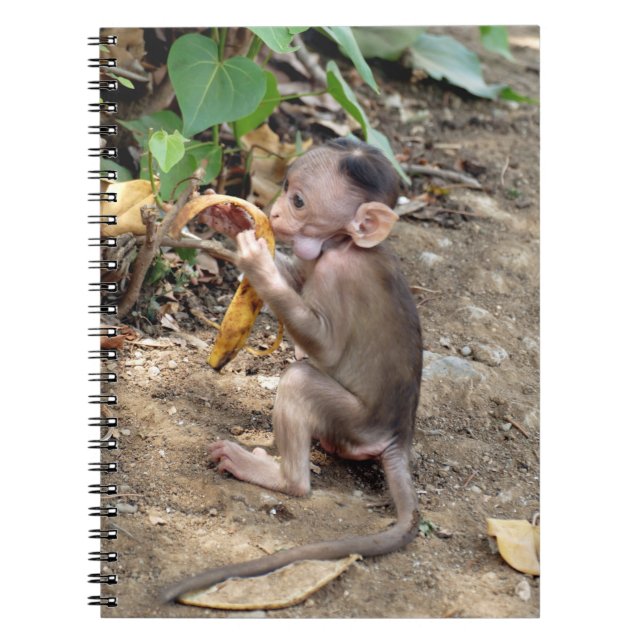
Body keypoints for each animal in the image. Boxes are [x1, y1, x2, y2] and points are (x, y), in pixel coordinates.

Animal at [161, 138, 423, 602]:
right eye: (284, 188)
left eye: (299, 201)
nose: (277, 212)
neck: (343, 244)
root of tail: (398, 437)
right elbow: (297, 278)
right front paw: (229, 218)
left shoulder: (339, 274)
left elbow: (325, 345)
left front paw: (256, 263)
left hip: (357, 424)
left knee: (300, 379)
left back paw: (280, 477)